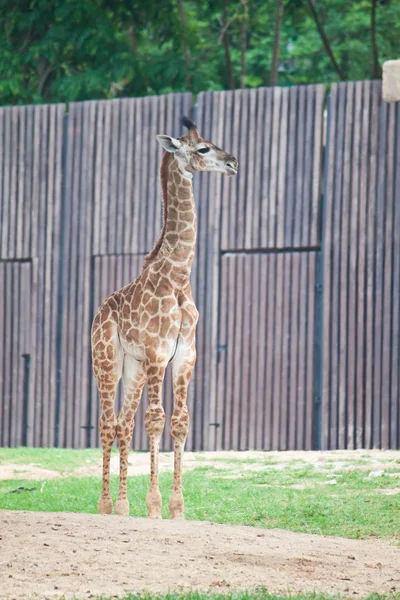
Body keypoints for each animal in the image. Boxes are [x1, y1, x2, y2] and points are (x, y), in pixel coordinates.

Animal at [91, 115, 238, 516]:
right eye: (202, 149)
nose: (233, 162)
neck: (177, 276)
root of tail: (98, 311)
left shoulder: (186, 353)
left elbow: (181, 421)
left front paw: (177, 509)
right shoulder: (159, 352)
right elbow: (155, 420)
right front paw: (155, 507)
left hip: (135, 367)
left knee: (124, 423)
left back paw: (123, 507)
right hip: (107, 361)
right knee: (107, 422)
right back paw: (105, 506)